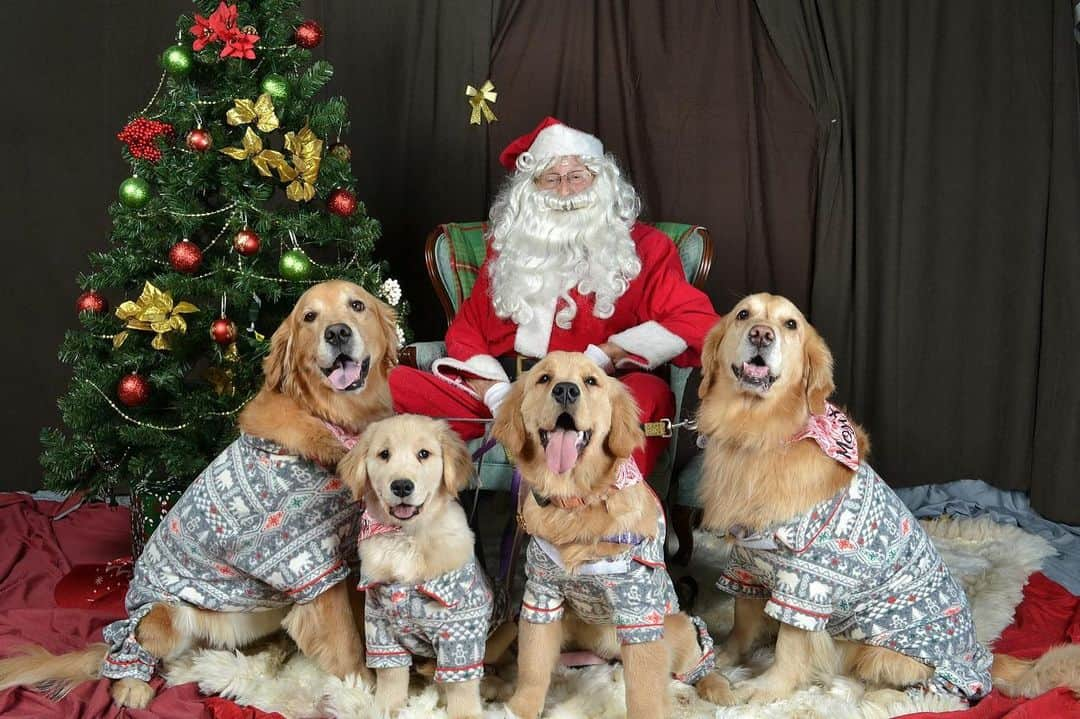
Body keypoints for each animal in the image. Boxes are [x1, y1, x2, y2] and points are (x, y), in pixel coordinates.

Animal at [0, 278, 397, 703]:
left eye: (357, 305)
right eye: (309, 316)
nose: (337, 333)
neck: (327, 418)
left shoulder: (343, 557)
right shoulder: (312, 566)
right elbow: (345, 640)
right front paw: (361, 693)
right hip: (162, 615)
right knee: (130, 644)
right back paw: (133, 684)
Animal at [339, 414, 498, 716]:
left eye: (424, 454)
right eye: (384, 454)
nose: (402, 486)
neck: (408, 537)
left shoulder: (460, 631)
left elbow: (462, 685)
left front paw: (465, 714)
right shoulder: (379, 625)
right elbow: (391, 675)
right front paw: (386, 709)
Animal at [494, 351, 734, 716]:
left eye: (591, 381)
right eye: (544, 378)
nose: (566, 390)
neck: (575, 502)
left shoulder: (639, 613)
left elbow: (645, 690)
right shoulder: (542, 596)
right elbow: (533, 664)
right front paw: (520, 708)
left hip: (676, 627)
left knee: (700, 657)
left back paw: (718, 686)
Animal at [695, 291, 1075, 699]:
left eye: (790, 324)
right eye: (743, 314)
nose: (762, 334)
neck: (761, 435)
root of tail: (979, 654)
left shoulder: (808, 583)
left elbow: (791, 646)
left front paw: (765, 688)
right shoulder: (745, 562)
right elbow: (742, 620)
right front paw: (721, 659)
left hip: (882, 654)